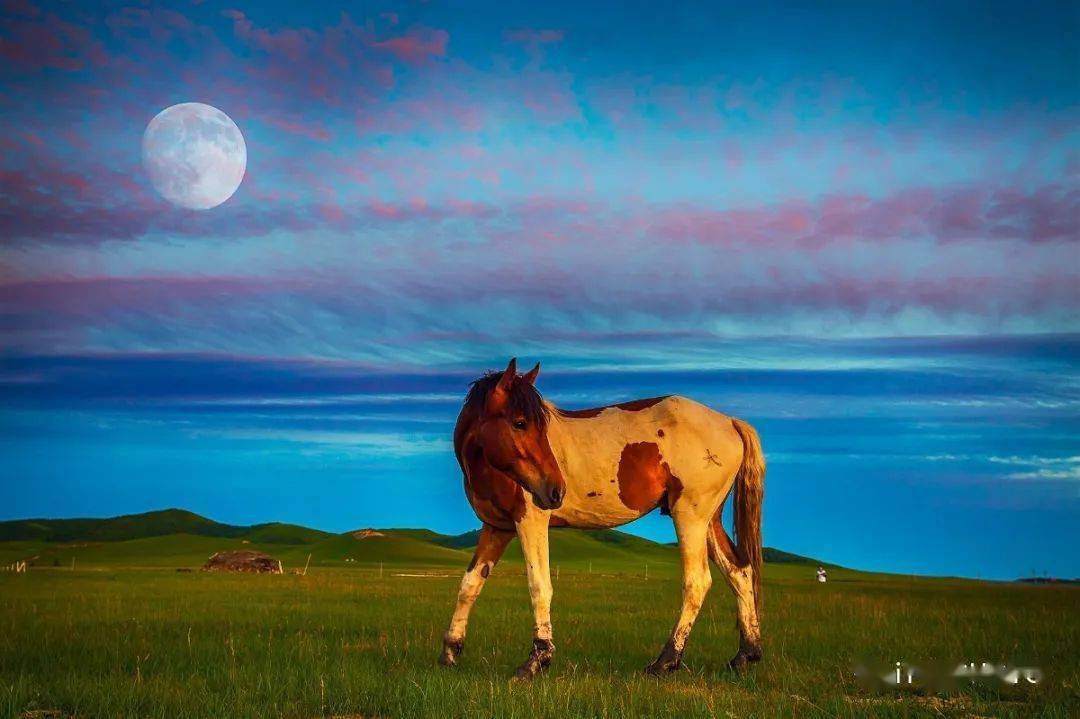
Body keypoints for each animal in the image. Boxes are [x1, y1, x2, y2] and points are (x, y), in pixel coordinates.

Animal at [434, 358, 764, 677]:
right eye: (520, 423)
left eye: (535, 425)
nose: (556, 490)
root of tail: (730, 422)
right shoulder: (496, 527)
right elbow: (469, 585)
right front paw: (449, 653)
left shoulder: (530, 521)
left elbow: (539, 585)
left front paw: (536, 660)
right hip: (709, 521)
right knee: (739, 572)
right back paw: (745, 655)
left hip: (689, 518)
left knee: (697, 582)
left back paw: (665, 662)